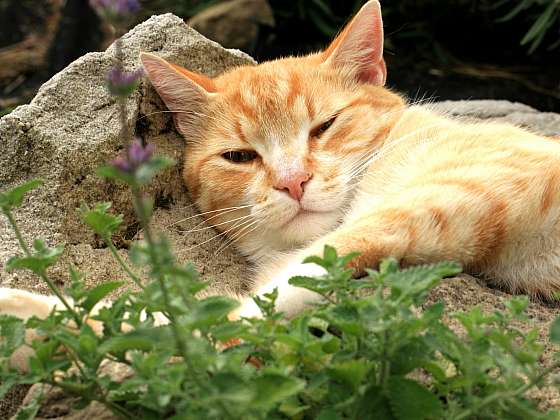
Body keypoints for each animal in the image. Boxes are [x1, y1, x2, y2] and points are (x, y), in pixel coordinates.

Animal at [3, 0, 560, 368]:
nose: (293, 182)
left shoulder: (436, 202)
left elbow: (218, 323)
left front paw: (38, 324)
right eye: (240, 157)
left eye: (324, 126)